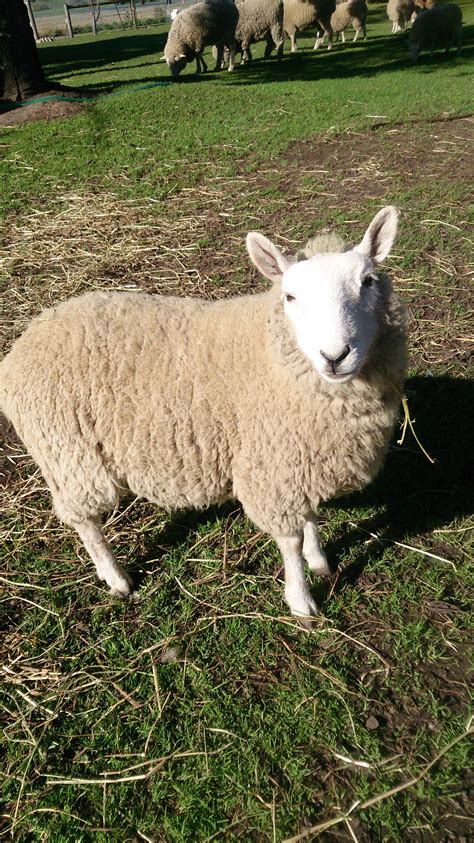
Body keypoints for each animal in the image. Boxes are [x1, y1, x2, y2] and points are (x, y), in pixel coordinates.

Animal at [0, 207, 408, 623]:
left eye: (368, 281)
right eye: (290, 296)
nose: (335, 356)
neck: (271, 355)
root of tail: (23, 344)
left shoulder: (298, 459)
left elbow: (308, 516)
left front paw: (320, 560)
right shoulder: (272, 464)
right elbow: (290, 541)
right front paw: (301, 601)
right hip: (67, 453)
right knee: (84, 520)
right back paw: (117, 578)